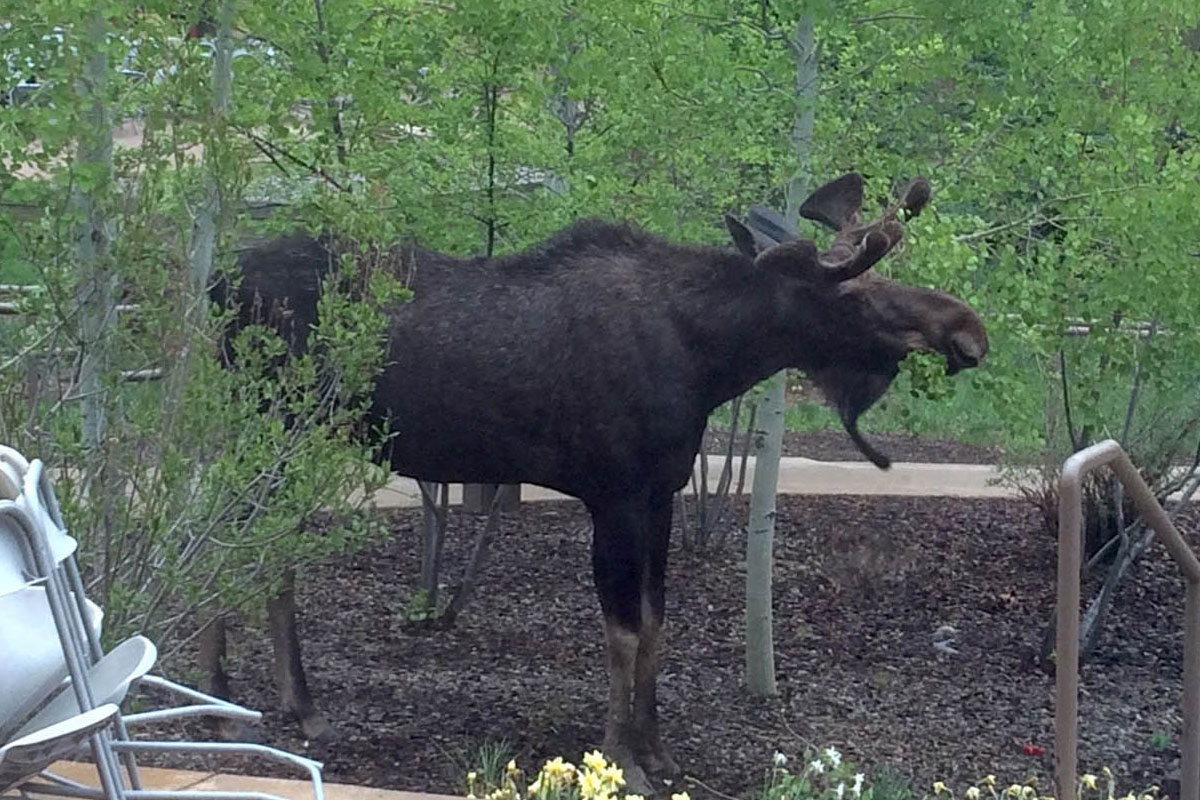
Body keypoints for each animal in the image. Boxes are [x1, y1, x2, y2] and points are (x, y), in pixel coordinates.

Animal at [206, 171, 988, 794]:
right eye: (861, 295)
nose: (969, 331)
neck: (710, 360)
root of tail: (212, 287)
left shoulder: (661, 491)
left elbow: (657, 624)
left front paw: (657, 747)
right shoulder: (611, 493)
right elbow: (623, 630)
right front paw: (621, 756)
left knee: (260, 551)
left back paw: (274, 699)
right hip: (264, 428)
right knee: (233, 545)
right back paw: (240, 702)